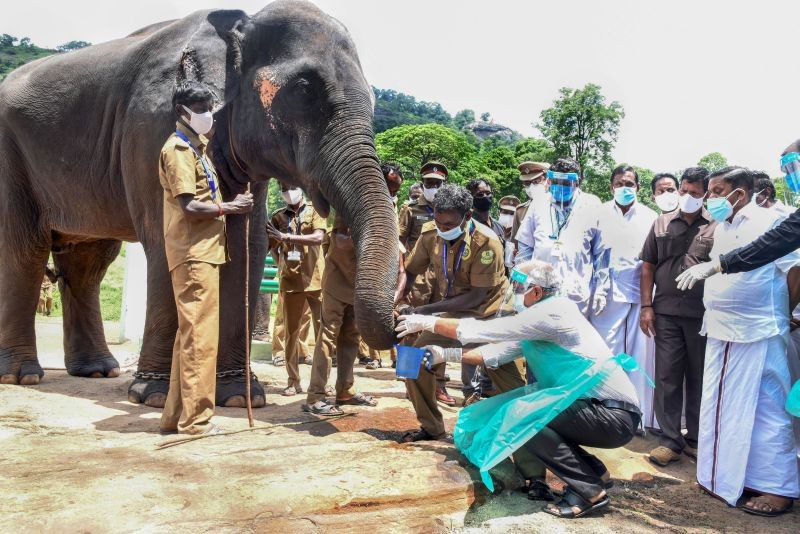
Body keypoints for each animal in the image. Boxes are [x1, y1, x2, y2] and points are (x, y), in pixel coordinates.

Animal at [0, 0, 399, 407]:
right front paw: (154, 395)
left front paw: (239, 396)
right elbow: (166, 237)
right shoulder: (151, 127)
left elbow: (247, 247)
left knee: (88, 263)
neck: (242, 21)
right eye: (304, 89)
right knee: (24, 251)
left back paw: (97, 370)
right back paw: (22, 375)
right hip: (10, 158)